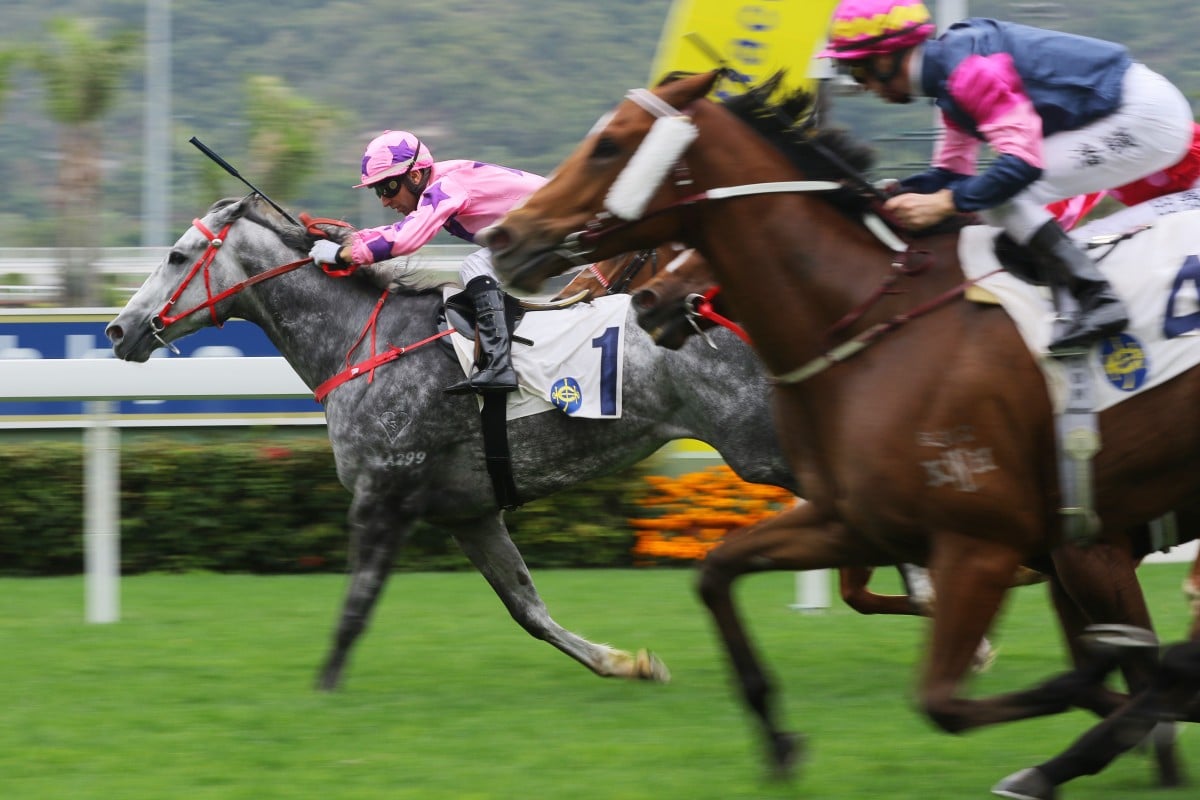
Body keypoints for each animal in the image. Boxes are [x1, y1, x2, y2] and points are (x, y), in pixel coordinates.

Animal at [105, 195, 796, 695]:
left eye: (176, 256)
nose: (117, 329)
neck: (363, 343)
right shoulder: (471, 512)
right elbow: (528, 610)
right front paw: (628, 663)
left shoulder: (383, 495)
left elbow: (357, 605)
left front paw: (323, 693)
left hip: (762, 445)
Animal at [482, 70, 1200, 786]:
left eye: (609, 146)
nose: (506, 238)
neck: (879, 325)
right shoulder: (861, 516)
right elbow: (724, 573)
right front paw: (778, 740)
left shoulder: (1028, 542)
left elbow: (980, 681)